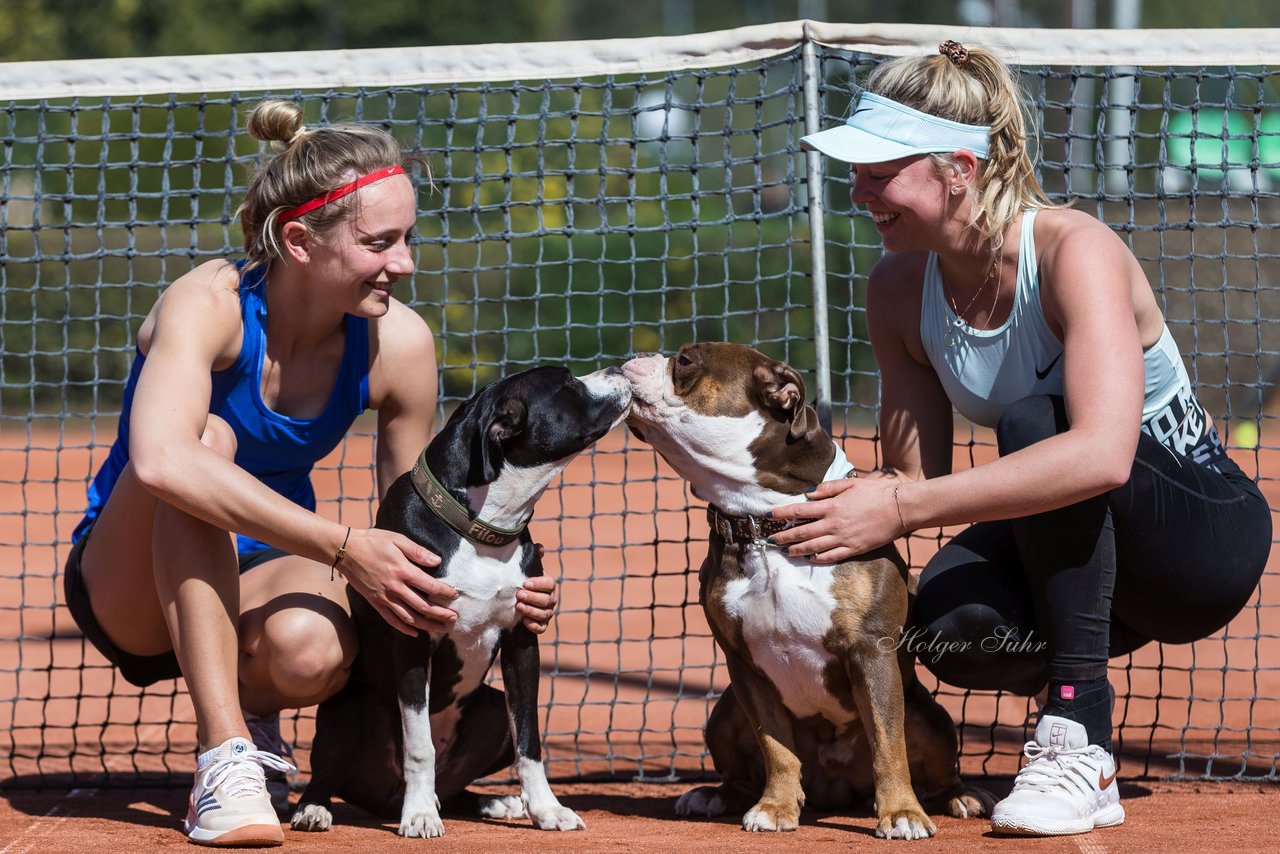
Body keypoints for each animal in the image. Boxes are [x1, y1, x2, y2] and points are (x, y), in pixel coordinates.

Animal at [290, 363, 629, 839]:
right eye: (565, 382)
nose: (619, 367)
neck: (481, 527)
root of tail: (379, 798)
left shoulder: (523, 642)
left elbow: (530, 740)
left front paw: (548, 810)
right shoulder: (412, 640)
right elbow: (419, 744)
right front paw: (418, 815)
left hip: (490, 711)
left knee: (461, 782)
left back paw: (493, 802)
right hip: (353, 708)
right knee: (326, 772)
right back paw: (318, 809)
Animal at [619, 343, 988, 839]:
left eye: (686, 360)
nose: (631, 355)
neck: (765, 521)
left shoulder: (871, 652)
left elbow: (888, 745)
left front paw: (901, 814)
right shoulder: (746, 665)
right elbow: (776, 746)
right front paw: (775, 808)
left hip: (929, 718)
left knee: (932, 764)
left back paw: (959, 797)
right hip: (724, 713)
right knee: (742, 771)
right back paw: (713, 795)